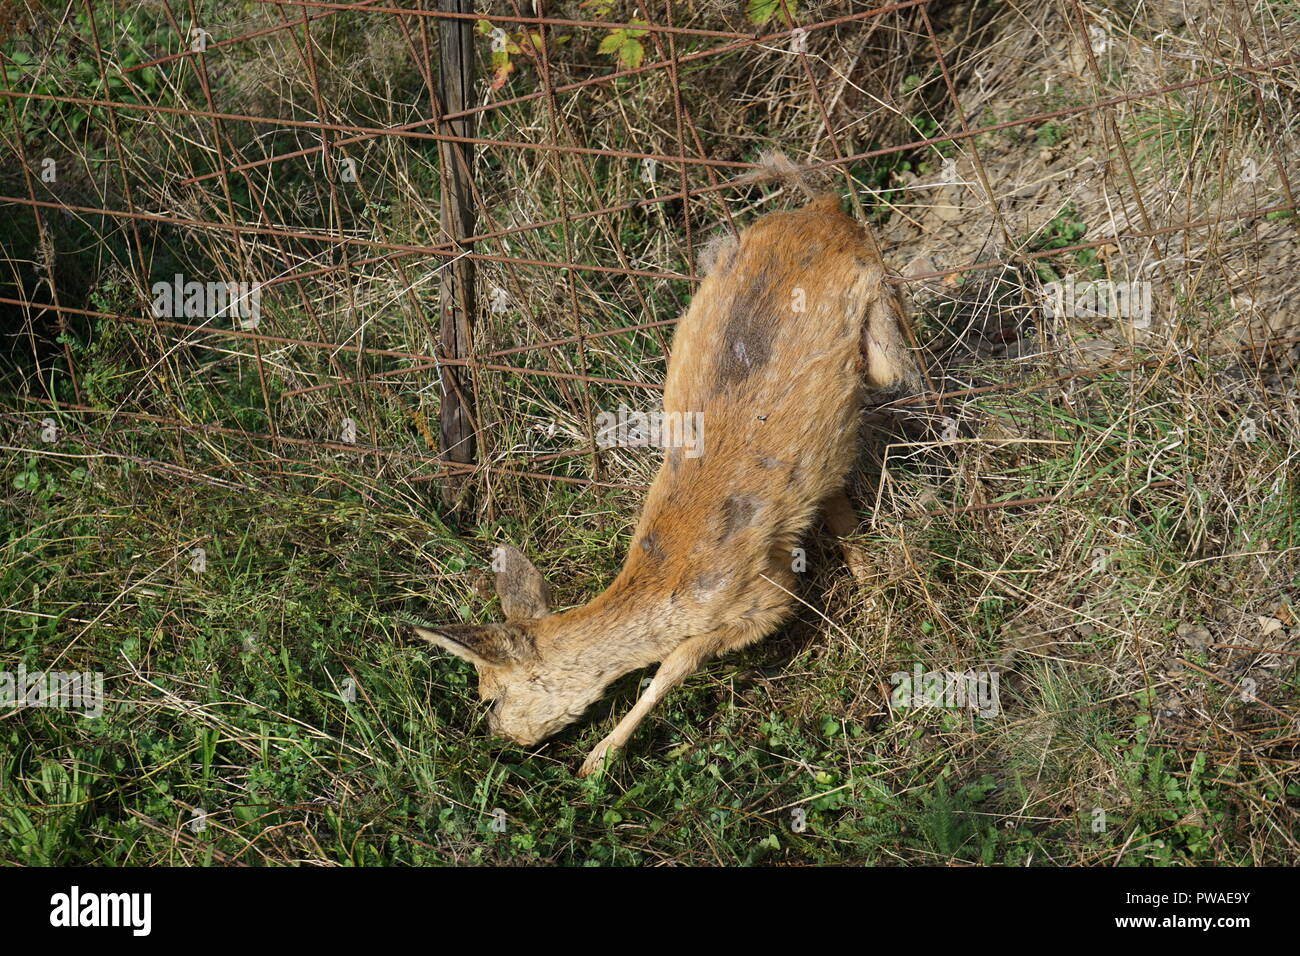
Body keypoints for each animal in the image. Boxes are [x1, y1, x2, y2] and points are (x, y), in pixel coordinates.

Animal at [410, 153, 923, 776]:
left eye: (490, 694)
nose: (499, 738)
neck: (669, 580)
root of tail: (825, 209)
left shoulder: (766, 596)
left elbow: (672, 667)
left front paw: (599, 759)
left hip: (879, 308)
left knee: (901, 365)